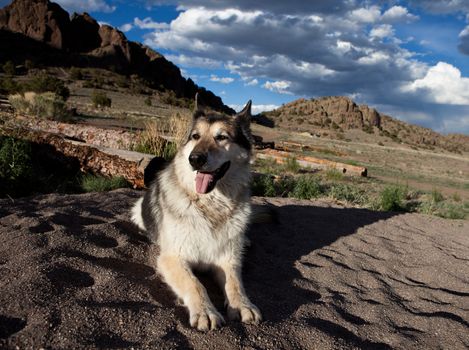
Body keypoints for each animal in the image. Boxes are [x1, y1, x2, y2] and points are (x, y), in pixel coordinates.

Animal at [131, 95, 260, 330]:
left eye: (222, 137)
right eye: (195, 136)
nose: (195, 159)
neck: (210, 206)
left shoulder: (228, 260)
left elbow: (235, 283)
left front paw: (243, 305)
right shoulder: (173, 258)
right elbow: (195, 283)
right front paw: (205, 311)